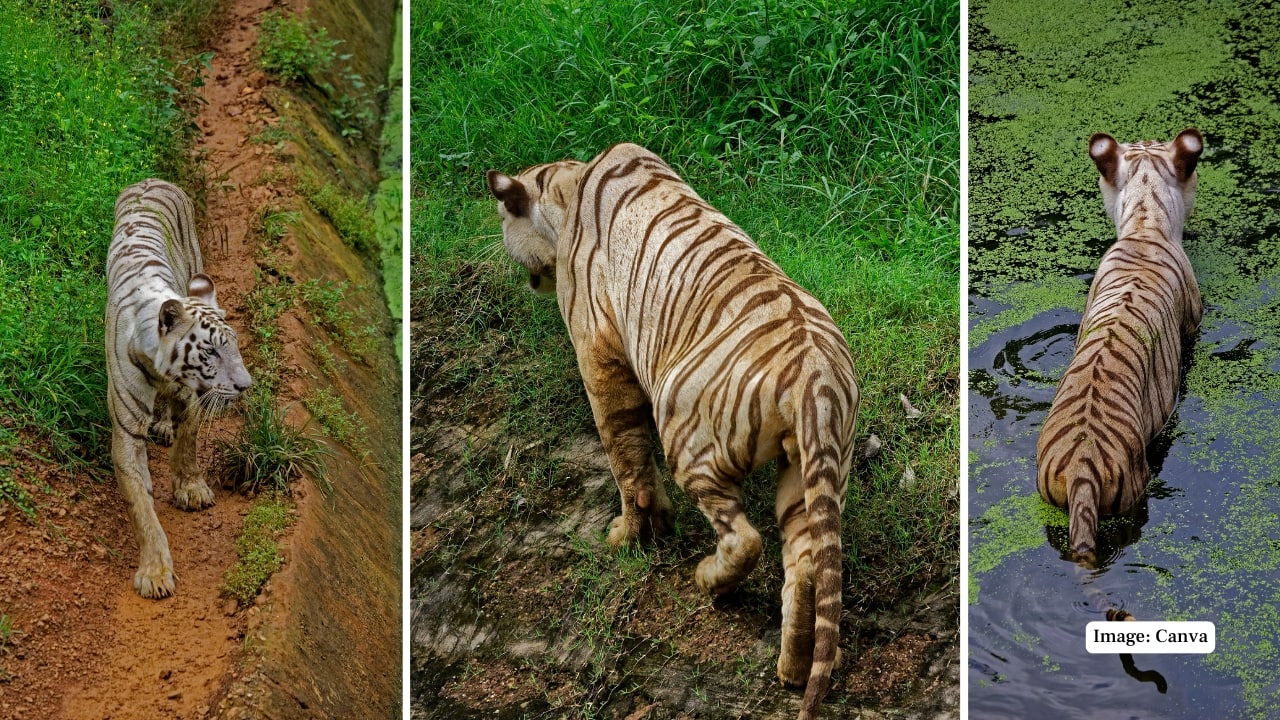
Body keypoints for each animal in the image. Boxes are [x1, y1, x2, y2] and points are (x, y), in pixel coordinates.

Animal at [106, 179, 252, 599]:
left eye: (233, 346)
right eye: (211, 351)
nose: (245, 386)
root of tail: (150, 179)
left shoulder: (190, 397)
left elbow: (188, 443)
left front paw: (191, 489)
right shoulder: (126, 430)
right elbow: (141, 506)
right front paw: (154, 572)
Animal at [487, 143, 859, 719]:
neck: (566, 187)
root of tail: (814, 377)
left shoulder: (596, 350)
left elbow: (624, 454)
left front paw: (629, 534)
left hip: (691, 442)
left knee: (745, 538)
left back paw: (709, 581)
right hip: (811, 469)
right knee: (802, 564)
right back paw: (795, 668)